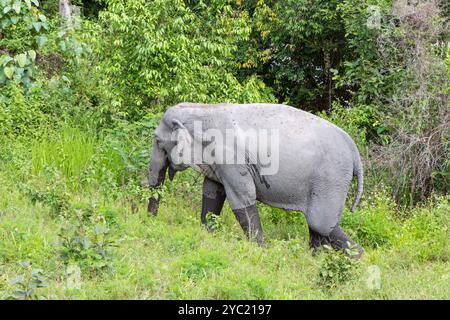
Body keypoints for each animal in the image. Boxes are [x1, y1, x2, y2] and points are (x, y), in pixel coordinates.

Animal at [148, 102, 366, 258]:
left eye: (157, 141)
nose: (149, 221)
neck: (203, 109)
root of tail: (355, 152)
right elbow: (213, 192)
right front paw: (207, 236)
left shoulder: (232, 160)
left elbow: (242, 198)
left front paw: (260, 250)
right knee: (318, 227)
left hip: (331, 178)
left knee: (321, 223)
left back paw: (357, 258)